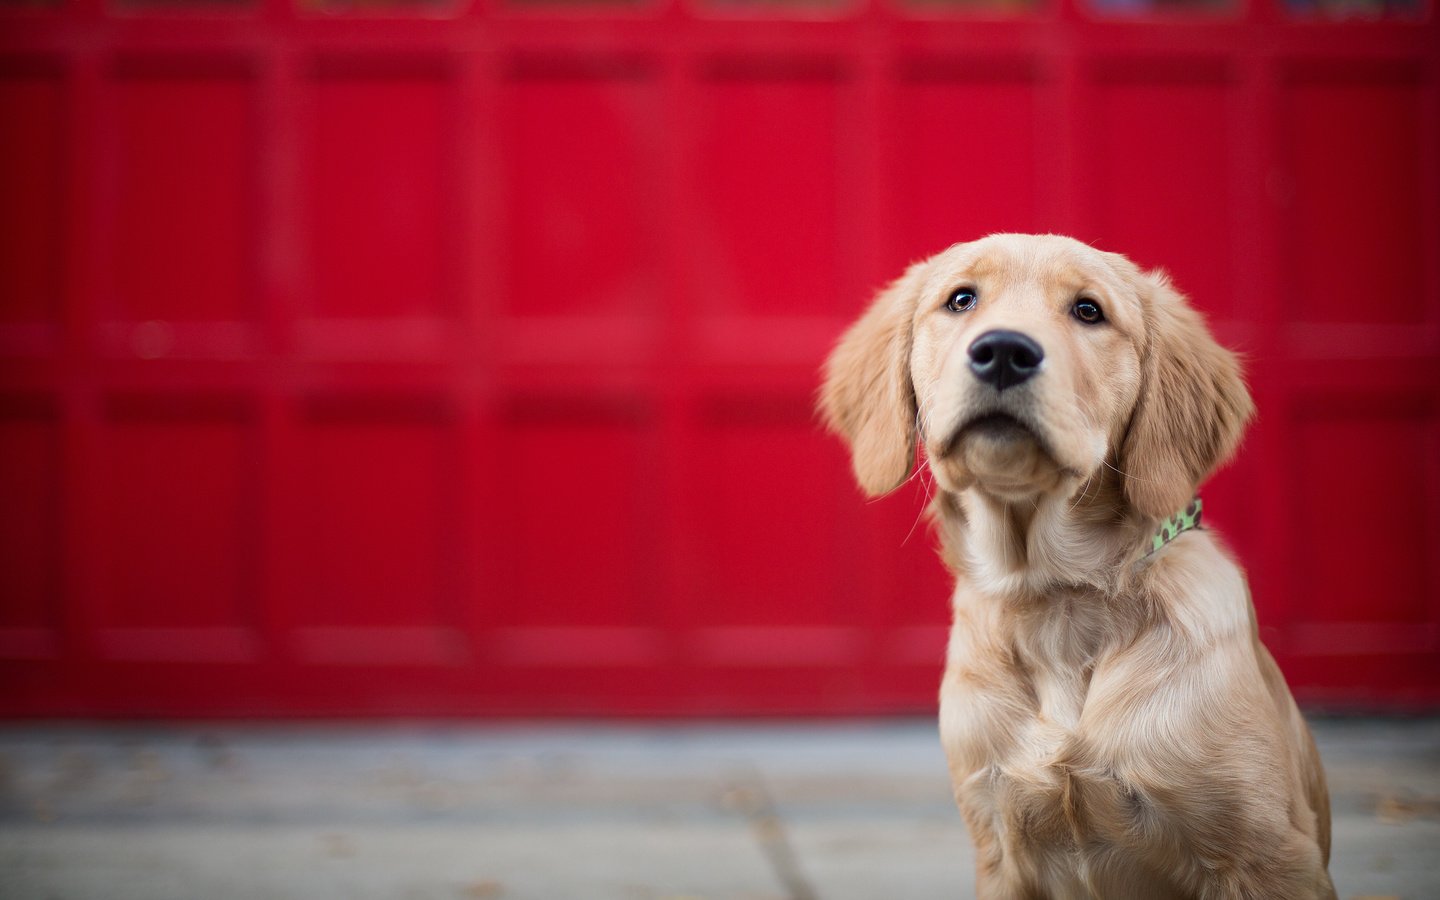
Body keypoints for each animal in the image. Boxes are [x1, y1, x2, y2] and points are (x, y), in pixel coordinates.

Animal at [817, 234, 1330, 892]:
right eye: (961, 299)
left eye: (1089, 311)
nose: (1003, 352)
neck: (1051, 597)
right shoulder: (999, 847)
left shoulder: (1268, 855)